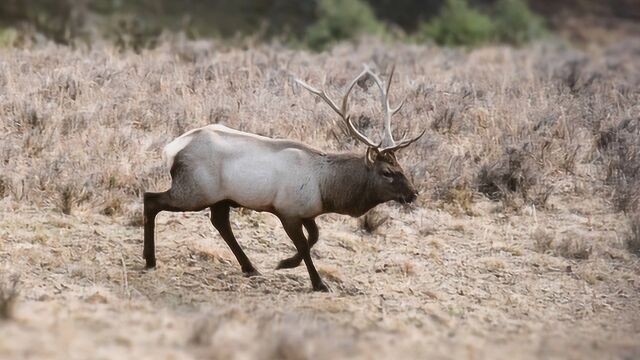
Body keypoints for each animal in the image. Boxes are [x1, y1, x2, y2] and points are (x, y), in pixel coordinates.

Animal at [145, 64, 424, 292]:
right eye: (387, 172)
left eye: (401, 167)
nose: (413, 193)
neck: (326, 189)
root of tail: (172, 149)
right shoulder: (286, 210)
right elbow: (304, 244)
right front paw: (317, 282)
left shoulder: (307, 212)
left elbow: (314, 238)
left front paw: (285, 263)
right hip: (195, 190)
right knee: (151, 200)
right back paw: (150, 259)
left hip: (220, 197)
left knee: (220, 223)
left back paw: (250, 267)